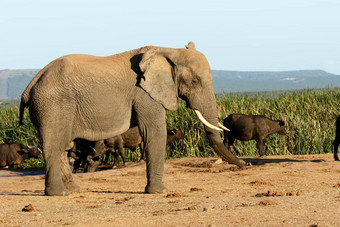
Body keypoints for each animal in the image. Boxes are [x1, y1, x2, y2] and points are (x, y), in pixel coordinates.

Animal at [19, 41, 244, 196]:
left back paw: (74, 190)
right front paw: (160, 192)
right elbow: (154, 132)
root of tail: (29, 87)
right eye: (195, 81)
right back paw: (59, 193)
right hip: (52, 105)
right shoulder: (144, 94)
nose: (244, 164)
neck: (167, 50)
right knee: (53, 146)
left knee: (64, 147)